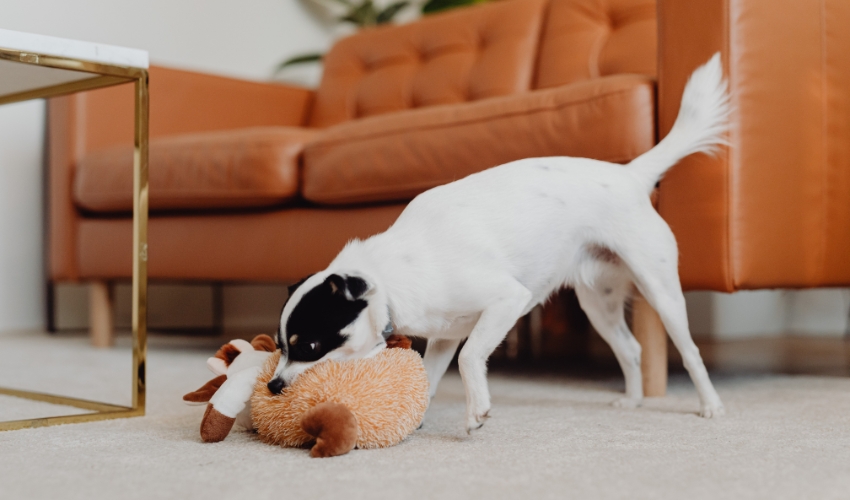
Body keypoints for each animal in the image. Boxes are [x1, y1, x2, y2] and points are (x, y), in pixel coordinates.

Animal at [268, 52, 724, 432]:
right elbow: (430, 378)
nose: (273, 386)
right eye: (279, 346)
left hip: (660, 289)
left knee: (690, 352)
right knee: (630, 349)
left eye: (309, 346)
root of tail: (630, 174)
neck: (393, 276)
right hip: (599, 302)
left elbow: (471, 357)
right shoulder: (445, 335)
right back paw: (633, 400)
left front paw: (477, 412)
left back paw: (710, 406)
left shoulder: (506, 301)